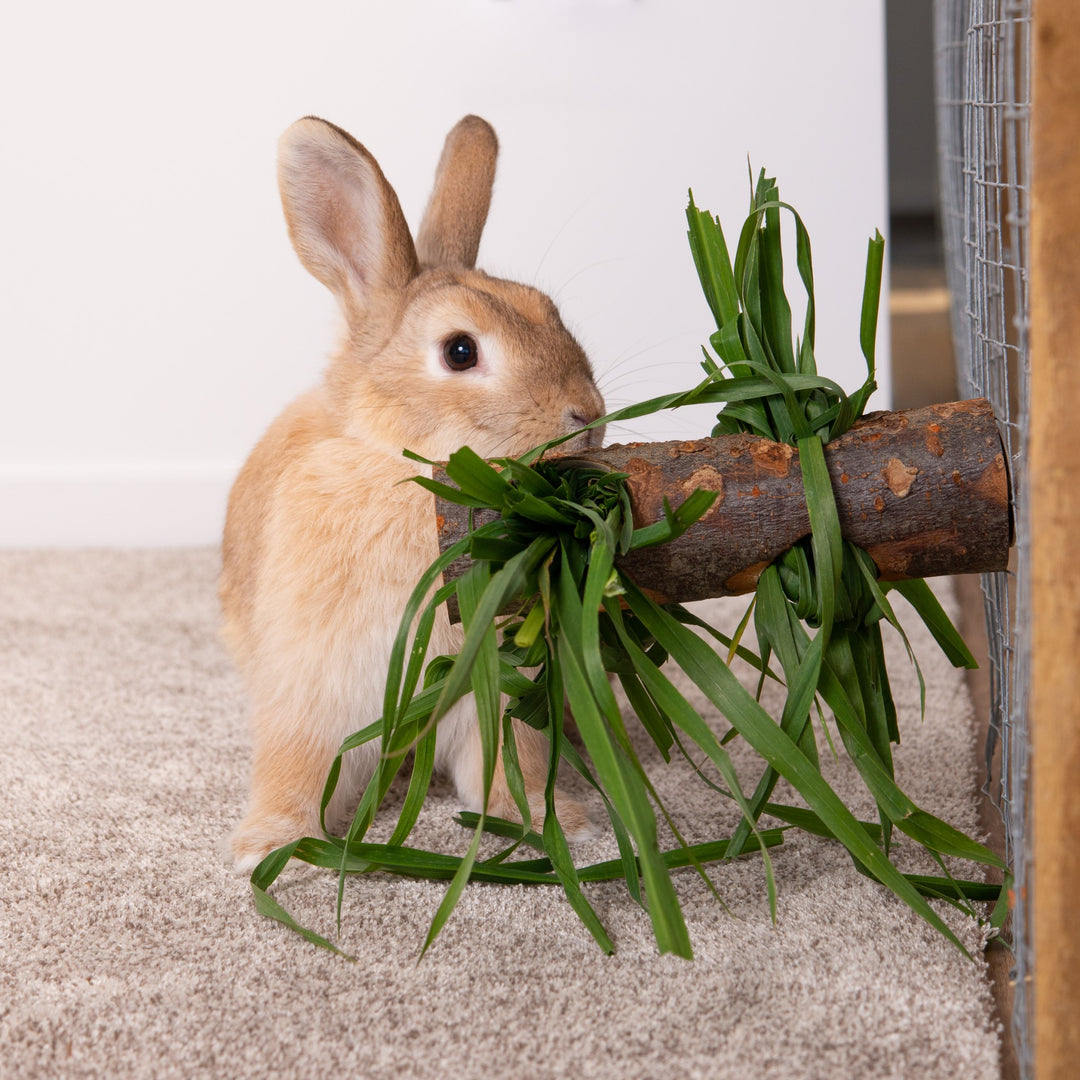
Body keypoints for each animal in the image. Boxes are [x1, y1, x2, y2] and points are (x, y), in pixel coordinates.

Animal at [219, 113, 609, 872]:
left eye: (548, 311)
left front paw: (555, 826)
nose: (587, 414)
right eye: (460, 351)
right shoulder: (312, 693)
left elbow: (509, 759)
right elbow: (293, 768)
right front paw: (270, 848)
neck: (411, 474)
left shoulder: (494, 694)